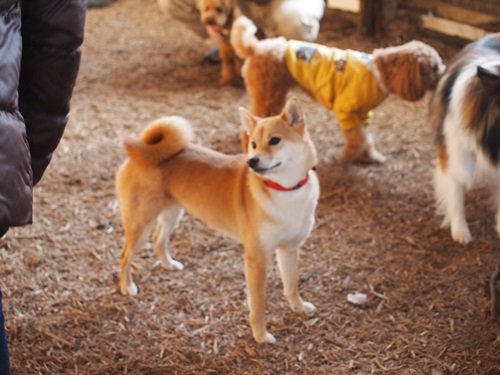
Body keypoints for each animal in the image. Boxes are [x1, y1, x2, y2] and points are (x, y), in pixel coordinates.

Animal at [116, 98, 318, 346]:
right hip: (141, 223)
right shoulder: (257, 258)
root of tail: (141, 152)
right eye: (253, 144)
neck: (285, 190)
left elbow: (291, 285)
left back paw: (168, 264)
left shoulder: (289, 248)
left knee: (158, 239)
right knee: (125, 255)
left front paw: (298, 307)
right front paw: (261, 336)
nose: (252, 161)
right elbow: (258, 304)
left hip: (173, 213)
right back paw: (127, 286)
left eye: (274, 140)